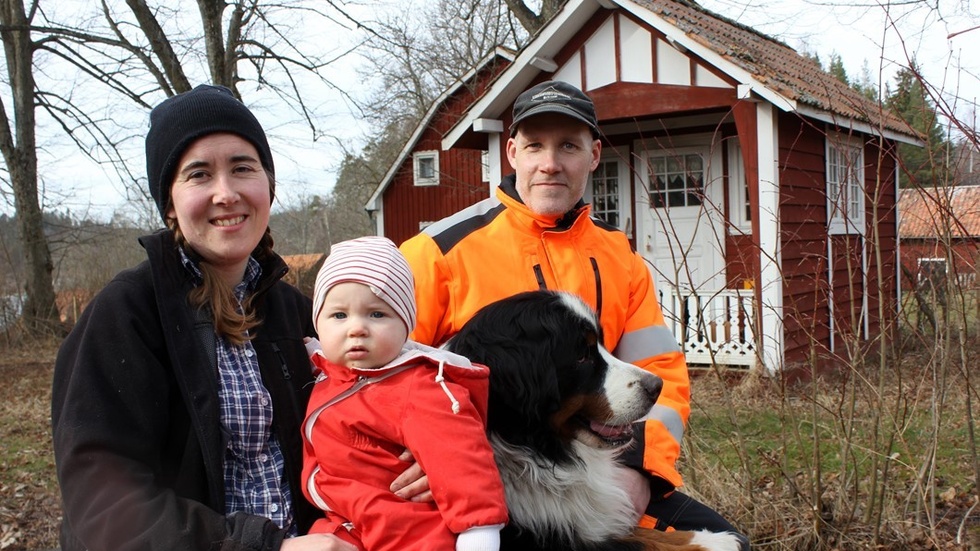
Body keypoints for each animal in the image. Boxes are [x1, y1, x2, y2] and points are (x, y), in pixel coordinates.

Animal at [446, 292, 744, 548]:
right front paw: (715, 542)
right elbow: (632, 542)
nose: (656, 386)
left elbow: (635, 532)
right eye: (582, 356)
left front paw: (704, 536)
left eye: (599, 345)